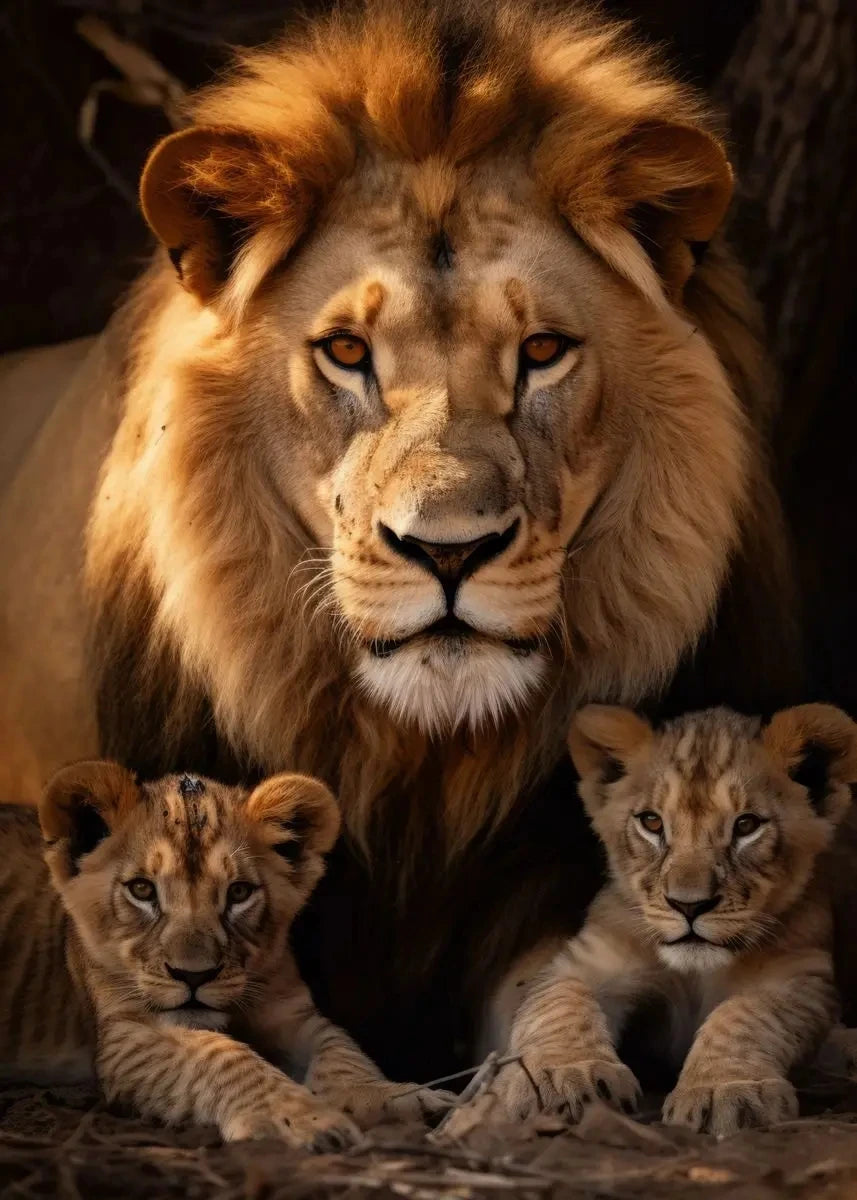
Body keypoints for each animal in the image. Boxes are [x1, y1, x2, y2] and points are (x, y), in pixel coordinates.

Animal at [0, 0, 799, 1077]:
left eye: (542, 350)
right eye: (346, 352)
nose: (448, 550)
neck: (420, 766)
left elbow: (557, 995)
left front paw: (555, 1081)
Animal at [0, 762, 449, 1146]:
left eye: (238, 893)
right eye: (142, 890)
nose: (194, 976)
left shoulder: (289, 1011)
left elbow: (341, 1047)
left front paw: (391, 1095)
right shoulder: (127, 1035)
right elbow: (221, 1054)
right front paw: (301, 1118)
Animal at [443, 703, 857, 1139]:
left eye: (746, 825)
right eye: (652, 822)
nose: (689, 906)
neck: (696, 973)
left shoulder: (800, 974)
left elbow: (746, 1016)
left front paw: (723, 1089)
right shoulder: (588, 958)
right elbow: (560, 1003)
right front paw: (564, 1076)